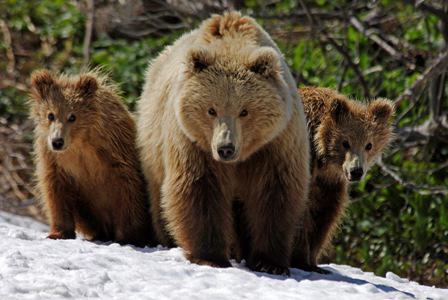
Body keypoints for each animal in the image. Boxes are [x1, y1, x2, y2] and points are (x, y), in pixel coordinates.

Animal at [29, 69, 155, 246]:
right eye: (51, 115)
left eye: (72, 116)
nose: (57, 141)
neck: (79, 144)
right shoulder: (55, 161)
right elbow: (55, 192)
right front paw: (58, 233)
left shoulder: (115, 155)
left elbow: (128, 191)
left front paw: (128, 237)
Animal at [138, 11, 310, 274]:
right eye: (211, 110)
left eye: (244, 111)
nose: (225, 148)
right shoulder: (192, 142)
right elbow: (199, 188)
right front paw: (210, 256)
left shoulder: (276, 143)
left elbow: (274, 193)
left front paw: (269, 262)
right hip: (153, 146)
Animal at [288, 86, 394, 272]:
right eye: (345, 142)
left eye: (369, 145)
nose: (356, 171)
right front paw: (301, 260)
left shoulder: (330, 183)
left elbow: (325, 215)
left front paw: (313, 262)